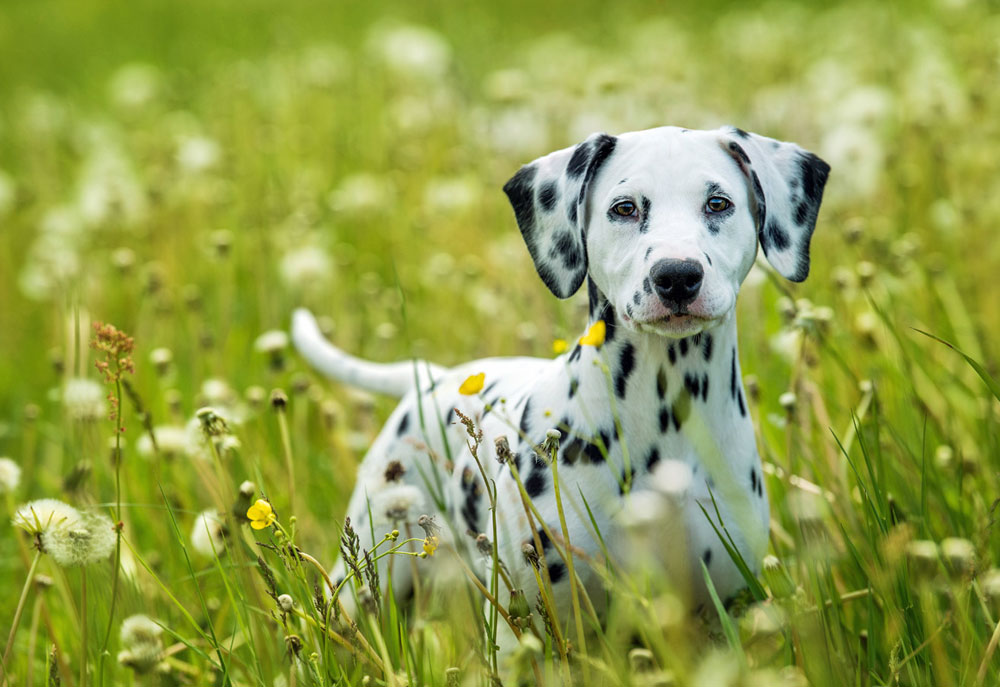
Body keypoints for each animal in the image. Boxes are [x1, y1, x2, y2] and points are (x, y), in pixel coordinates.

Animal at [292, 125, 832, 652]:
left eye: (718, 203)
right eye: (625, 208)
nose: (677, 275)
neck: (664, 424)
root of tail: (433, 377)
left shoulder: (721, 613)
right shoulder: (526, 628)